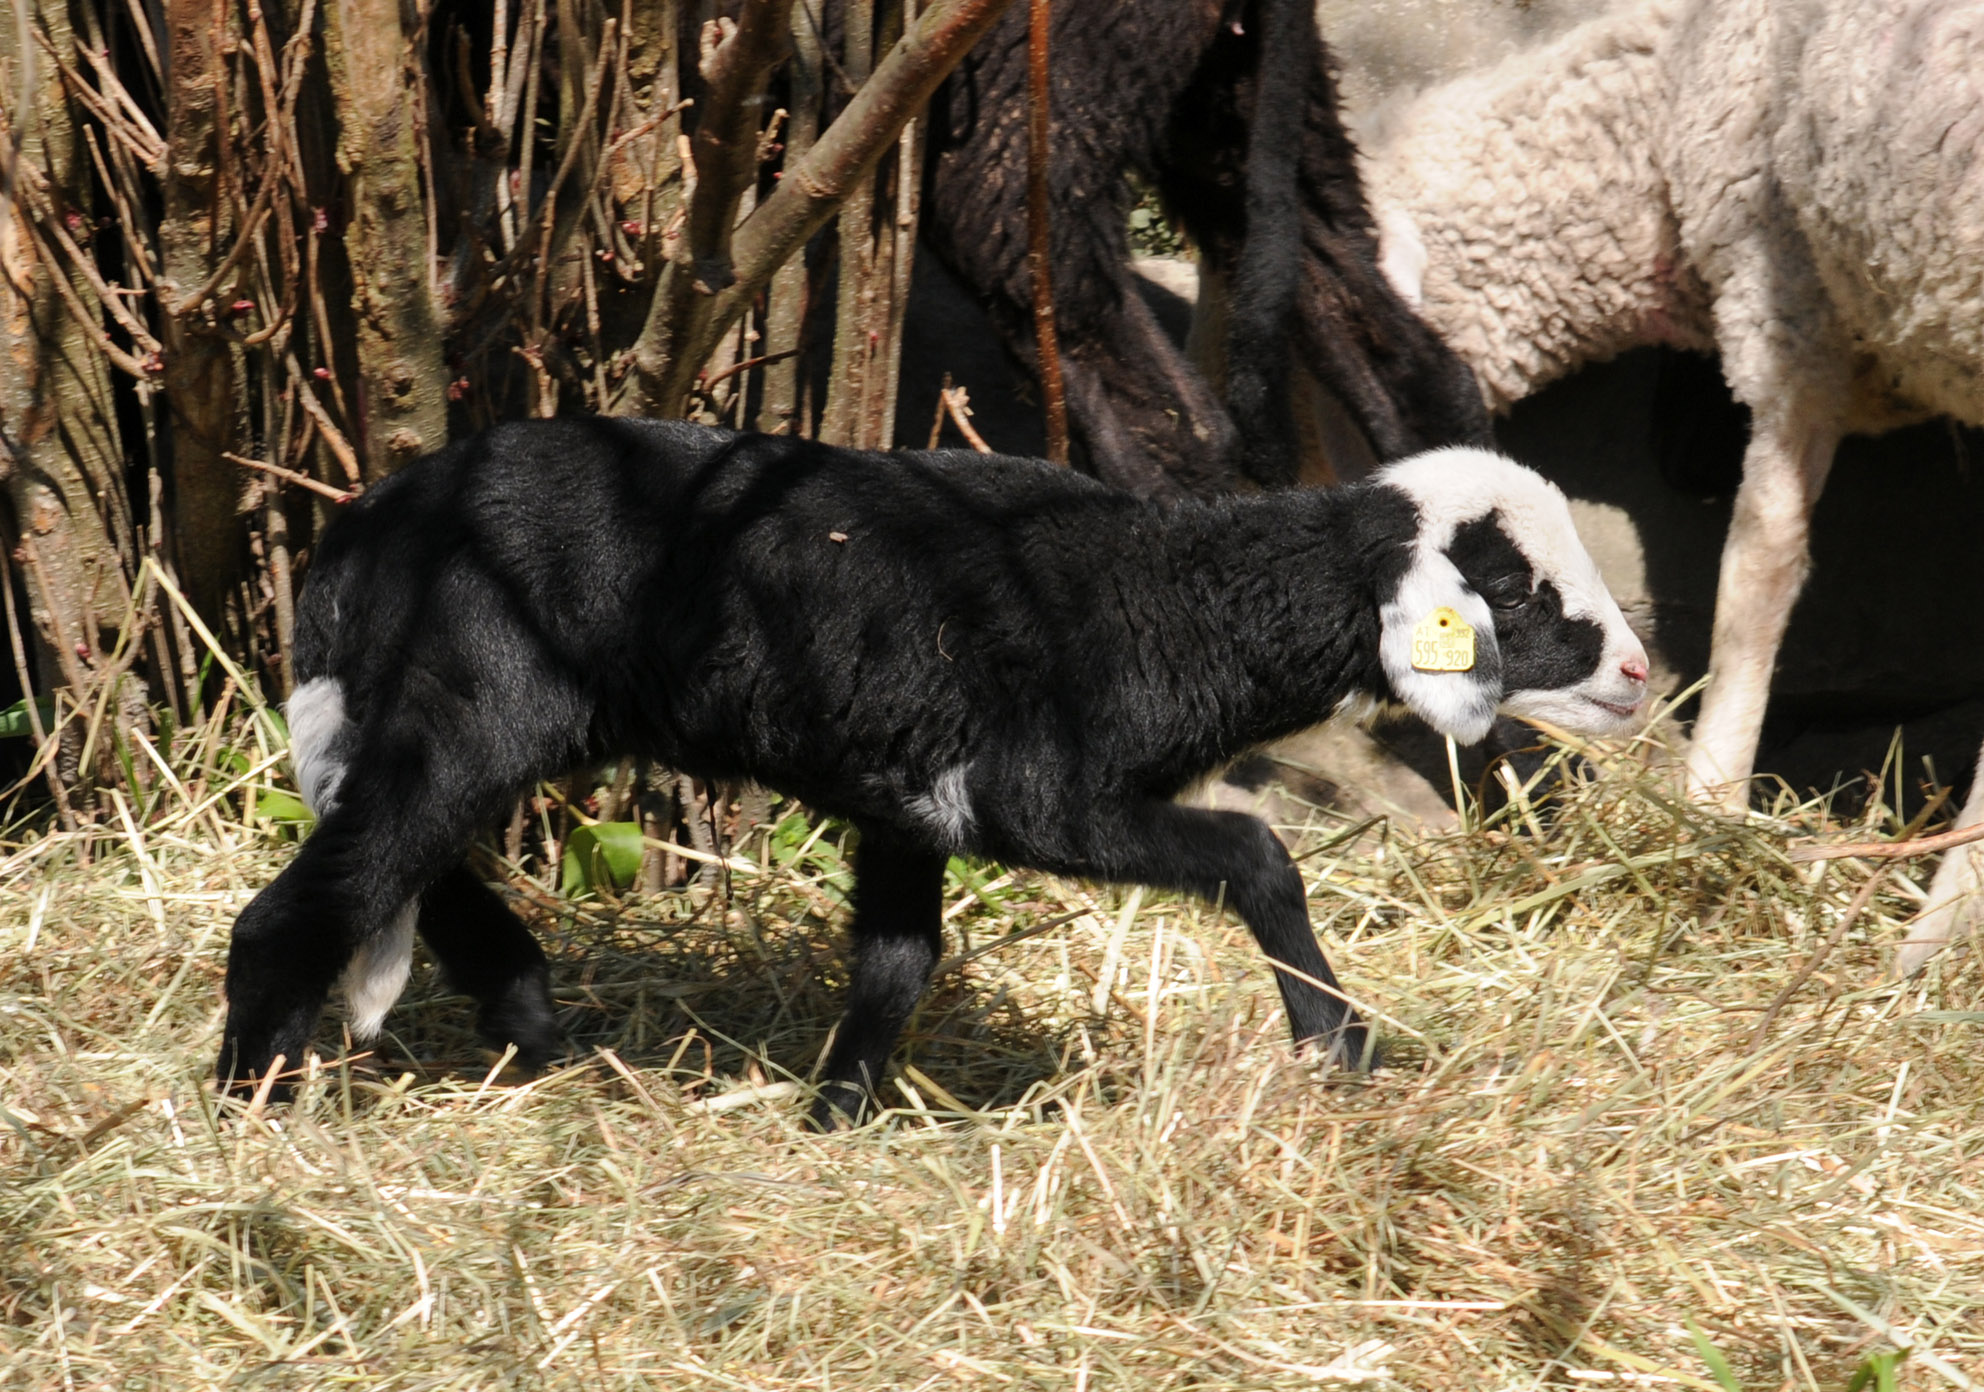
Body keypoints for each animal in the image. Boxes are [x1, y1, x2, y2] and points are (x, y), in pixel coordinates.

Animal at [217, 418, 1650, 1125]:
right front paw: (1336, 1048)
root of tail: (366, 526)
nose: (1639, 674)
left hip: (472, 718)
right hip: (477, 702)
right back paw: (254, 1111)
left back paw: (532, 1020)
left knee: (396, 858)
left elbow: (899, 961)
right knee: (308, 900)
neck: (1174, 600)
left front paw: (839, 1114)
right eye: (1519, 591)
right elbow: (1259, 855)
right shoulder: (1039, 796)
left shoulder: (912, 799)